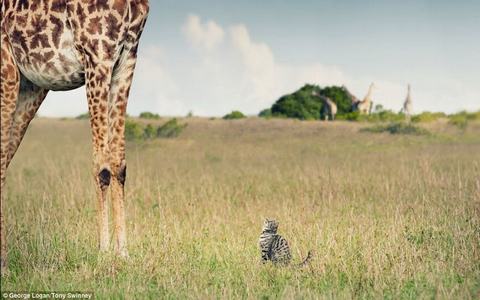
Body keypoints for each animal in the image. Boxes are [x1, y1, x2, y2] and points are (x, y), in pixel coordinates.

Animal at [0, 0, 149, 272]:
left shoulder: (127, 58)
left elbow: (119, 164)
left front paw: (123, 254)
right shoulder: (96, 54)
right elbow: (102, 167)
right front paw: (104, 253)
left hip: (31, 85)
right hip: (8, 74)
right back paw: (3, 262)